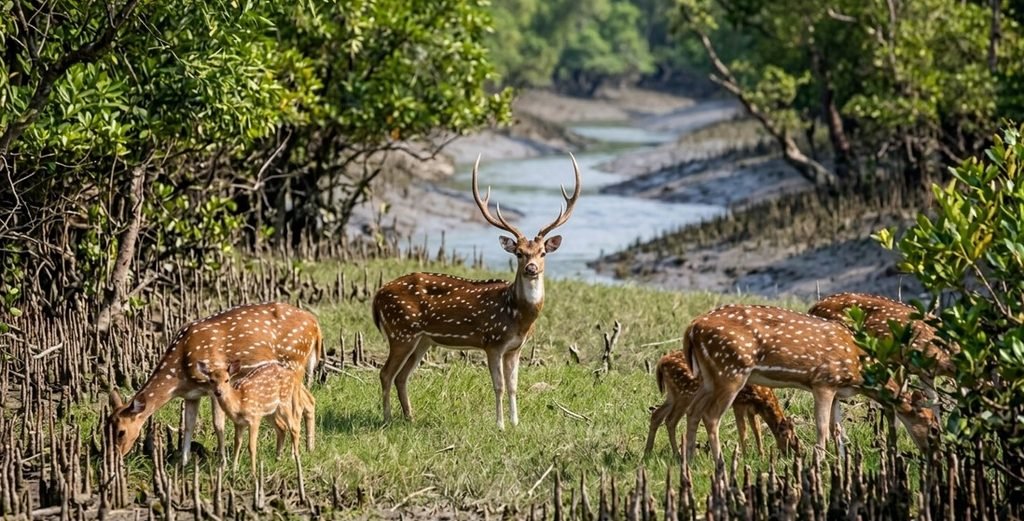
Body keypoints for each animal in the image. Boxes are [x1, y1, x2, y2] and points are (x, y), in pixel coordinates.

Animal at [106, 302, 323, 464]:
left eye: (121, 432)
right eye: (106, 427)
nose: (114, 457)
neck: (180, 371)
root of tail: (316, 325)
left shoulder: (213, 387)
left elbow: (218, 424)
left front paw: (223, 461)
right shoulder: (192, 394)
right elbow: (188, 425)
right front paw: (183, 462)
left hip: (294, 361)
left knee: (300, 405)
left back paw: (299, 453)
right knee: (310, 400)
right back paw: (307, 449)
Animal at [372, 154, 581, 429]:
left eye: (543, 252)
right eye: (519, 253)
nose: (532, 268)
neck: (518, 316)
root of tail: (377, 295)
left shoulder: (515, 348)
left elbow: (514, 386)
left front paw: (516, 423)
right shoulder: (492, 341)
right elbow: (499, 386)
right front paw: (500, 425)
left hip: (422, 339)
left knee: (402, 376)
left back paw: (410, 418)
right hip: (401, 330)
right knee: (386, 373)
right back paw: (386, 418)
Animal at [644, 350, 799, 459]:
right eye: (787, 435)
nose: (791, 454)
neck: (762, 396)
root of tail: (661, 362)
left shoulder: (751, 409)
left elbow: (757, 430)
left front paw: (761, 455)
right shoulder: (739, 403)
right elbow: (743, 429)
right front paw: (746, 456)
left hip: (673, 394)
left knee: (657, 414)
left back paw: (648, 451)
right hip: (684, 393)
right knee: (670, 420)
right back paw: (676, 453)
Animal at [681, 304, 938, 464]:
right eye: (934, 427)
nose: (933, 455)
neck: (858, 369)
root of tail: (692, 328)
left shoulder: (837, 391)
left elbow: (837, 429)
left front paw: (841, 462)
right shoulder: (823, 381)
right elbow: (822, 427)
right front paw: (820, 462)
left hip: (709, 377)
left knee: (693, 411)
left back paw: (689, 460)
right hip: (731, 370)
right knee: (711, 416)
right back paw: (719, 463)